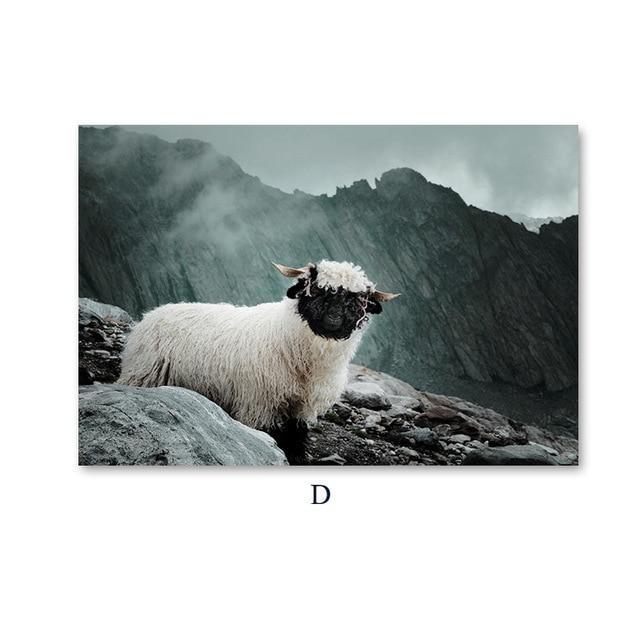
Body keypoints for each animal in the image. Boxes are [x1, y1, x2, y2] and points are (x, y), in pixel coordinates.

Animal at [117, 259, 399, 460]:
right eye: (316, 291)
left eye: (357, 300)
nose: (333, 320)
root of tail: (152, 314)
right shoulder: (258, 404)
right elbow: (269, 435)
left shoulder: (301, 407)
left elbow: (297, 438)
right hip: (144, 375)